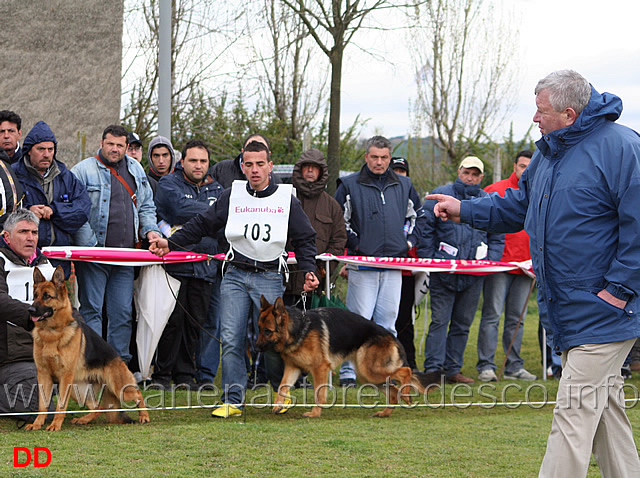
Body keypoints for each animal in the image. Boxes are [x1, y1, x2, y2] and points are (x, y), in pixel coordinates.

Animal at [24, 268, 149, 432]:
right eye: (35, 296)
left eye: (47, 296)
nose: (30, 310)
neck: (51, 333)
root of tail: (118, 357)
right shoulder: (43, 375)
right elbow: (42, 405)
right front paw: (37, 424)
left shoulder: (65, 377)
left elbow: (60, 405)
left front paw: (55, 425)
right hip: (77, 389)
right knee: (98, 407)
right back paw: (83, 420)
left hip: (119, 389)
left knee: (139, 394)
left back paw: (144, 416)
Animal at [256, 296, 440, 416]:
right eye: (259, 328)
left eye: (268, 331)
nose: (256, 347)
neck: (299, 329)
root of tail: (391, 336)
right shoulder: (293, 368)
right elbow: (282, 386)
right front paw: (278, 405)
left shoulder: (320, 369)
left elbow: (319, 394)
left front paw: (315, 413)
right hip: (367, 376)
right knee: (394, 391)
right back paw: (385, 412)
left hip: (369, 371)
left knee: (406, 371)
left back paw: (406, 395)